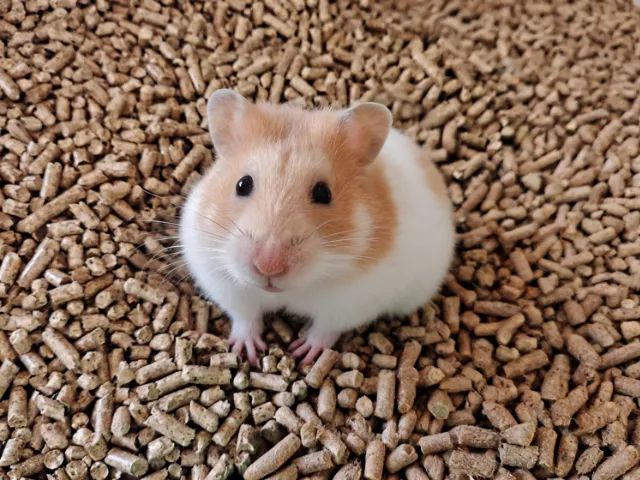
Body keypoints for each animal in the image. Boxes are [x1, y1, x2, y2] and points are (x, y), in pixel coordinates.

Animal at [180, 89, 455, 364]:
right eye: (242, 184)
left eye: (324, 193)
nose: (268, 267)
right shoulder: (226, 285)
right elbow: (246, 317)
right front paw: (245, 351)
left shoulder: (351, 303)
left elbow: (325, 329)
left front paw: (303, 354)